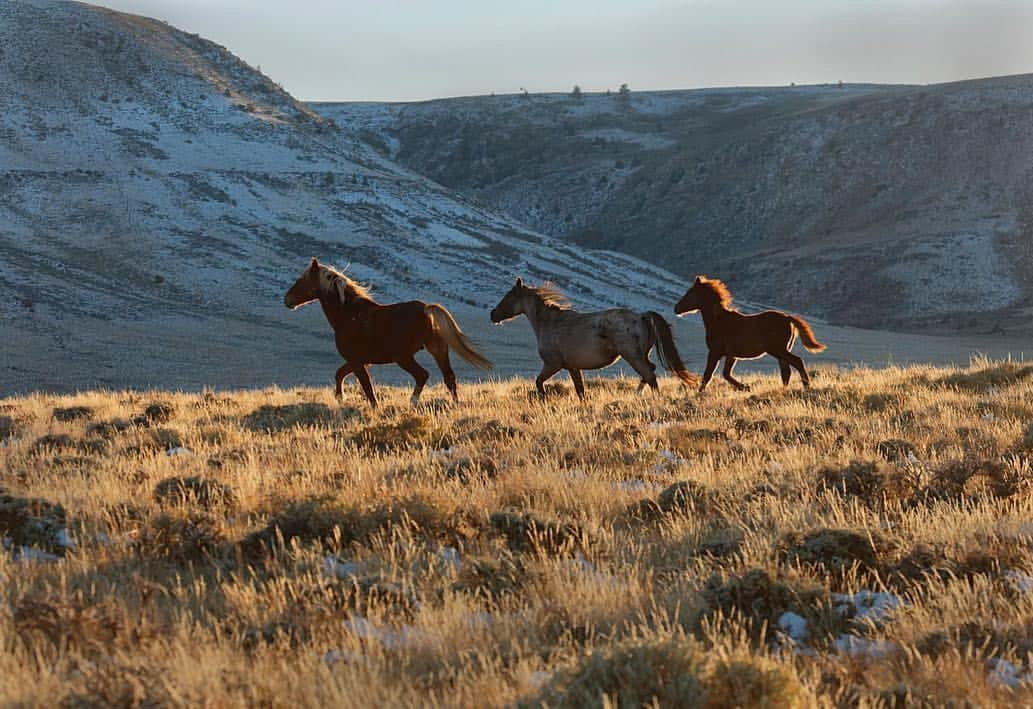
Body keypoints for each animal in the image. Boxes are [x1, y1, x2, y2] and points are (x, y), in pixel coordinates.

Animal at [283, 258, 491, 409]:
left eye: (301, 280)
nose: (287, 300)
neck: (348, 314)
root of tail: (426, 308)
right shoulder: (359, 360)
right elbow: (339, 374)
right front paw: (340, 399)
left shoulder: (357, 361)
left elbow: (367, 388)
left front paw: (371, 407)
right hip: (437, 349)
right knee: (449, 378)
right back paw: (455, 404)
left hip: (404, 357)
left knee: (422, 375)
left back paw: (412, 403)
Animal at [487, 279, 698, 401]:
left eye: (508, 296)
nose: (493, 314)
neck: (549, 322)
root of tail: (642, 316)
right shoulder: (573, 367)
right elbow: (580, 390)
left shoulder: (553, 364)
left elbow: (539, 382)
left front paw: (544, 399)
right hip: (641, 355)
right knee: (649, 373)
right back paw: (637, 394)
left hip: (633, 356)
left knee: (650, 375)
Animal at [673, 276, 826, 394]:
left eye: (690, 293)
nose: (676, 308)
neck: (719, 320)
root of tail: (788, 318)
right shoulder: (731, 355)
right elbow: (725, 374)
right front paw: (745, 387)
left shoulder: (715, 352)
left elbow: (709, 374)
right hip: (781, 351)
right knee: (786, 370)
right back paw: (784, 390)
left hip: (778, 350)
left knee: (797, 362)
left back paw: (807, 386)